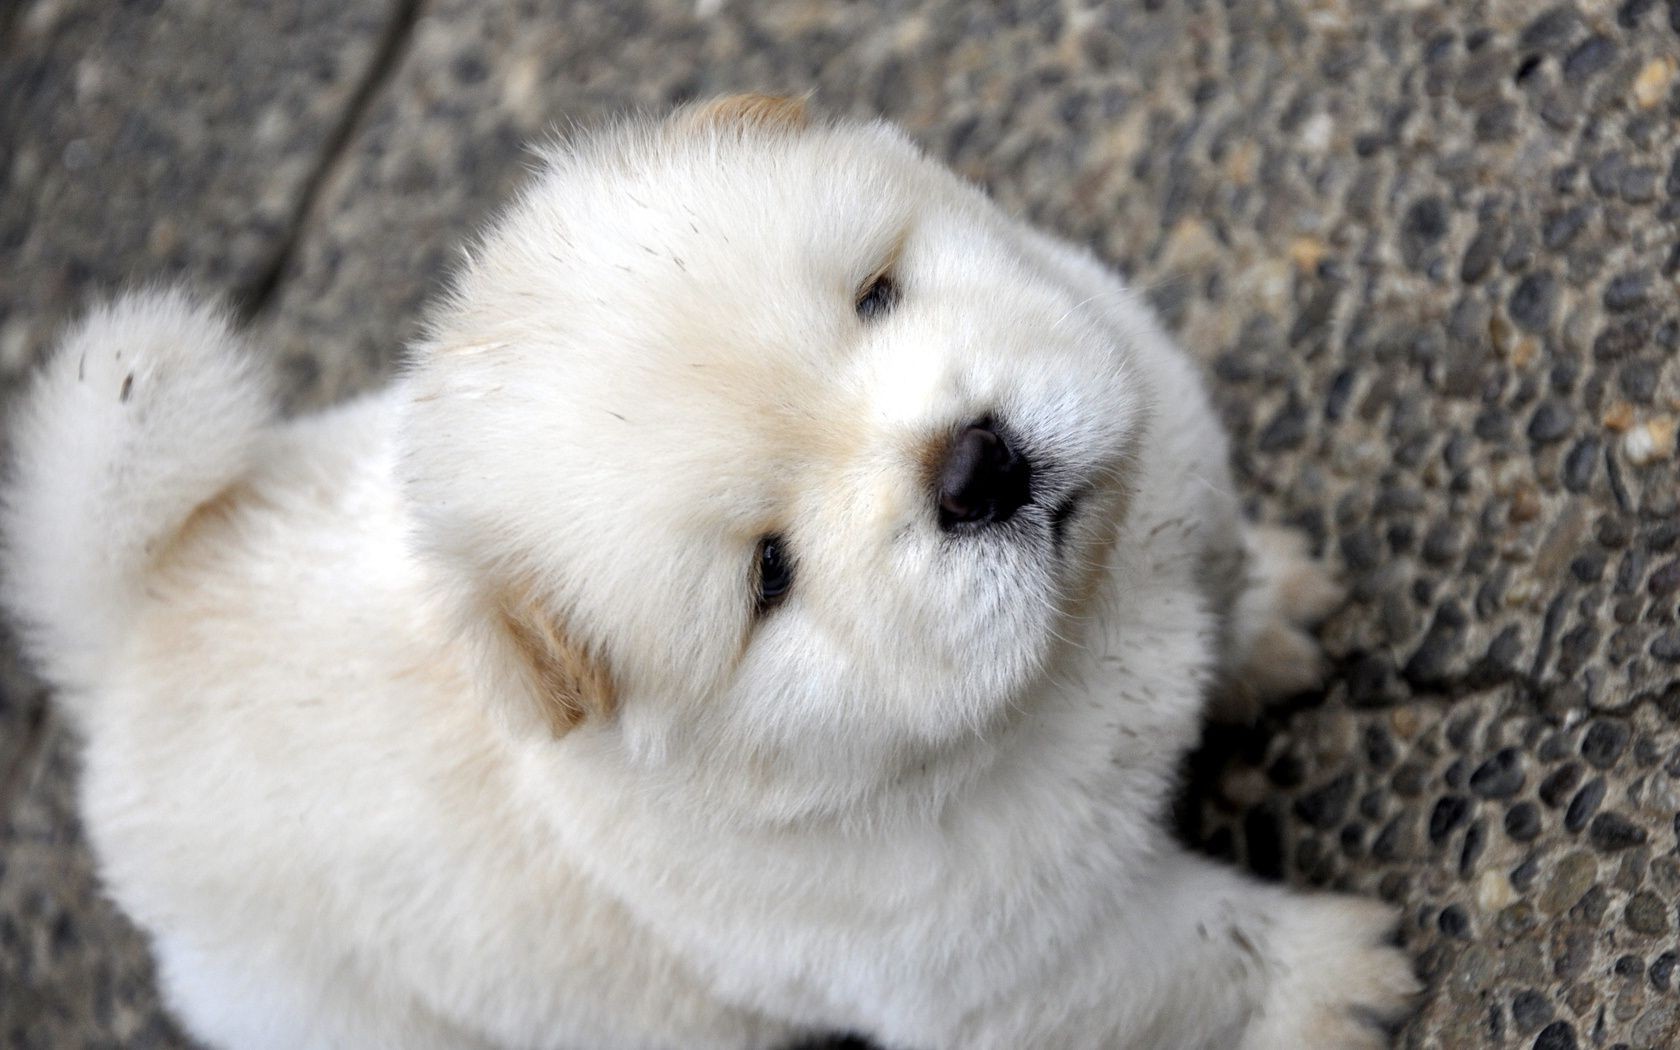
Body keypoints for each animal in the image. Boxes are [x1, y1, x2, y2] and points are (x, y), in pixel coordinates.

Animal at [0, 94, 1417, 1041]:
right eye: (771, 577)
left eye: (876, 296)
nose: (973, 467)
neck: (1076, 645)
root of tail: (129, 630)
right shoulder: (1028, 958)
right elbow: (1198, 960)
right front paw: (1343, 982)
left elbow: (1220, 587)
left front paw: (1277, 619)